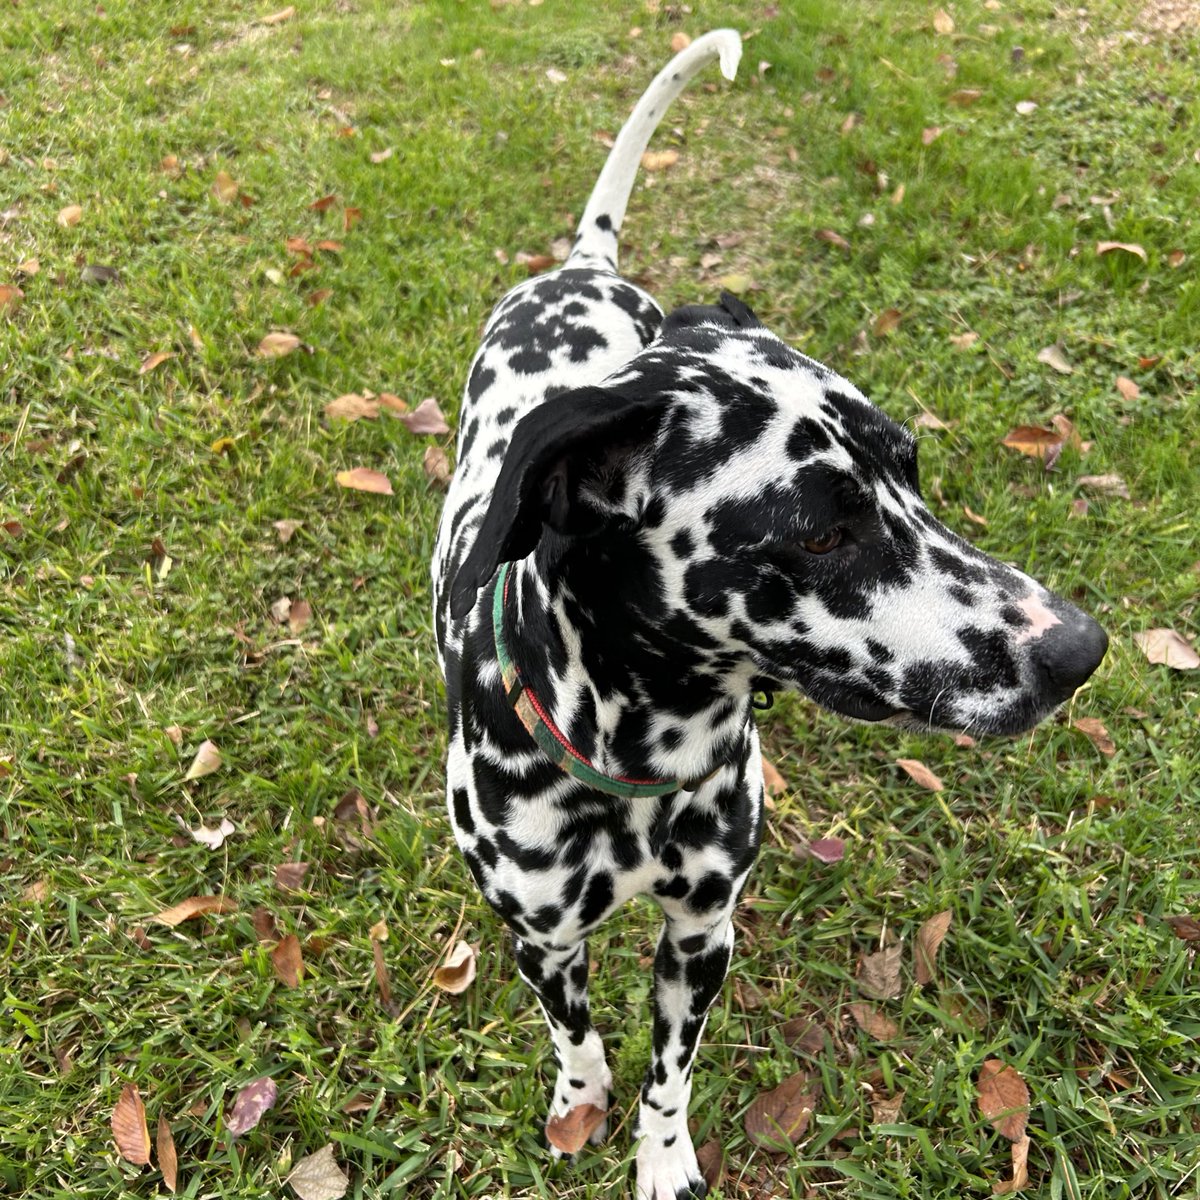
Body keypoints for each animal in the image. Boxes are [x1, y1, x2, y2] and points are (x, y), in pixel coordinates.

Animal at [429, 30, 1104, 1200]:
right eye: (823, 533)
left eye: (911, 469)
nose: (1081, 649)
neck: (635, 765)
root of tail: (583, 268)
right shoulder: (542, 939)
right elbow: (575, 1034)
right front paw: (579, 1102)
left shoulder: (702, 934)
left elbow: (670, 1076)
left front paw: (662, 1157)